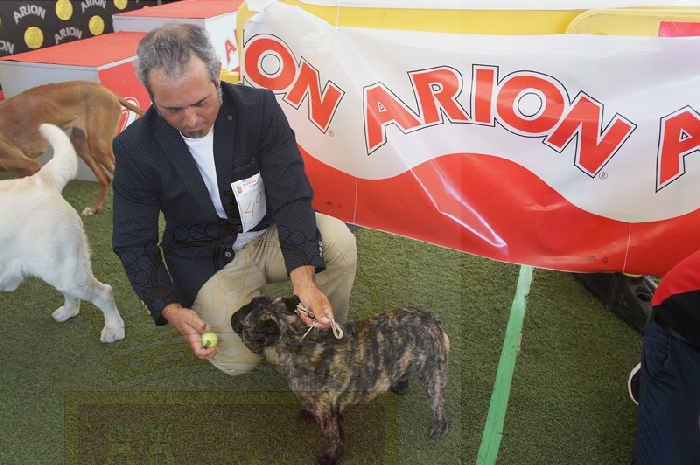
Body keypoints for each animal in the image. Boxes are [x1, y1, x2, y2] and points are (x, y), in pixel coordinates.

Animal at [0, 80, 145, 215]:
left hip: (99, 148)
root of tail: (106, 90)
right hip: (81, 146)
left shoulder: (31, 166)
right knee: (105, 179)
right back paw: (94, 209)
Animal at [0, 123, 125, 343]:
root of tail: (40, 180)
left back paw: (114, 330)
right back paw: (68, 312)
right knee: (71, 294)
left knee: (104, 292)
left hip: (63, 268)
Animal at [232, 295, 449, 465]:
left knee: (437, 403)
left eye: (243, 316)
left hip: (433, 374)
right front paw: (308, 413)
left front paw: (332, 457)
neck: (295, 339)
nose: (233, 313)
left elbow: (335, 437)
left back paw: (439, 428)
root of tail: (431, 318)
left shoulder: (329, 414)